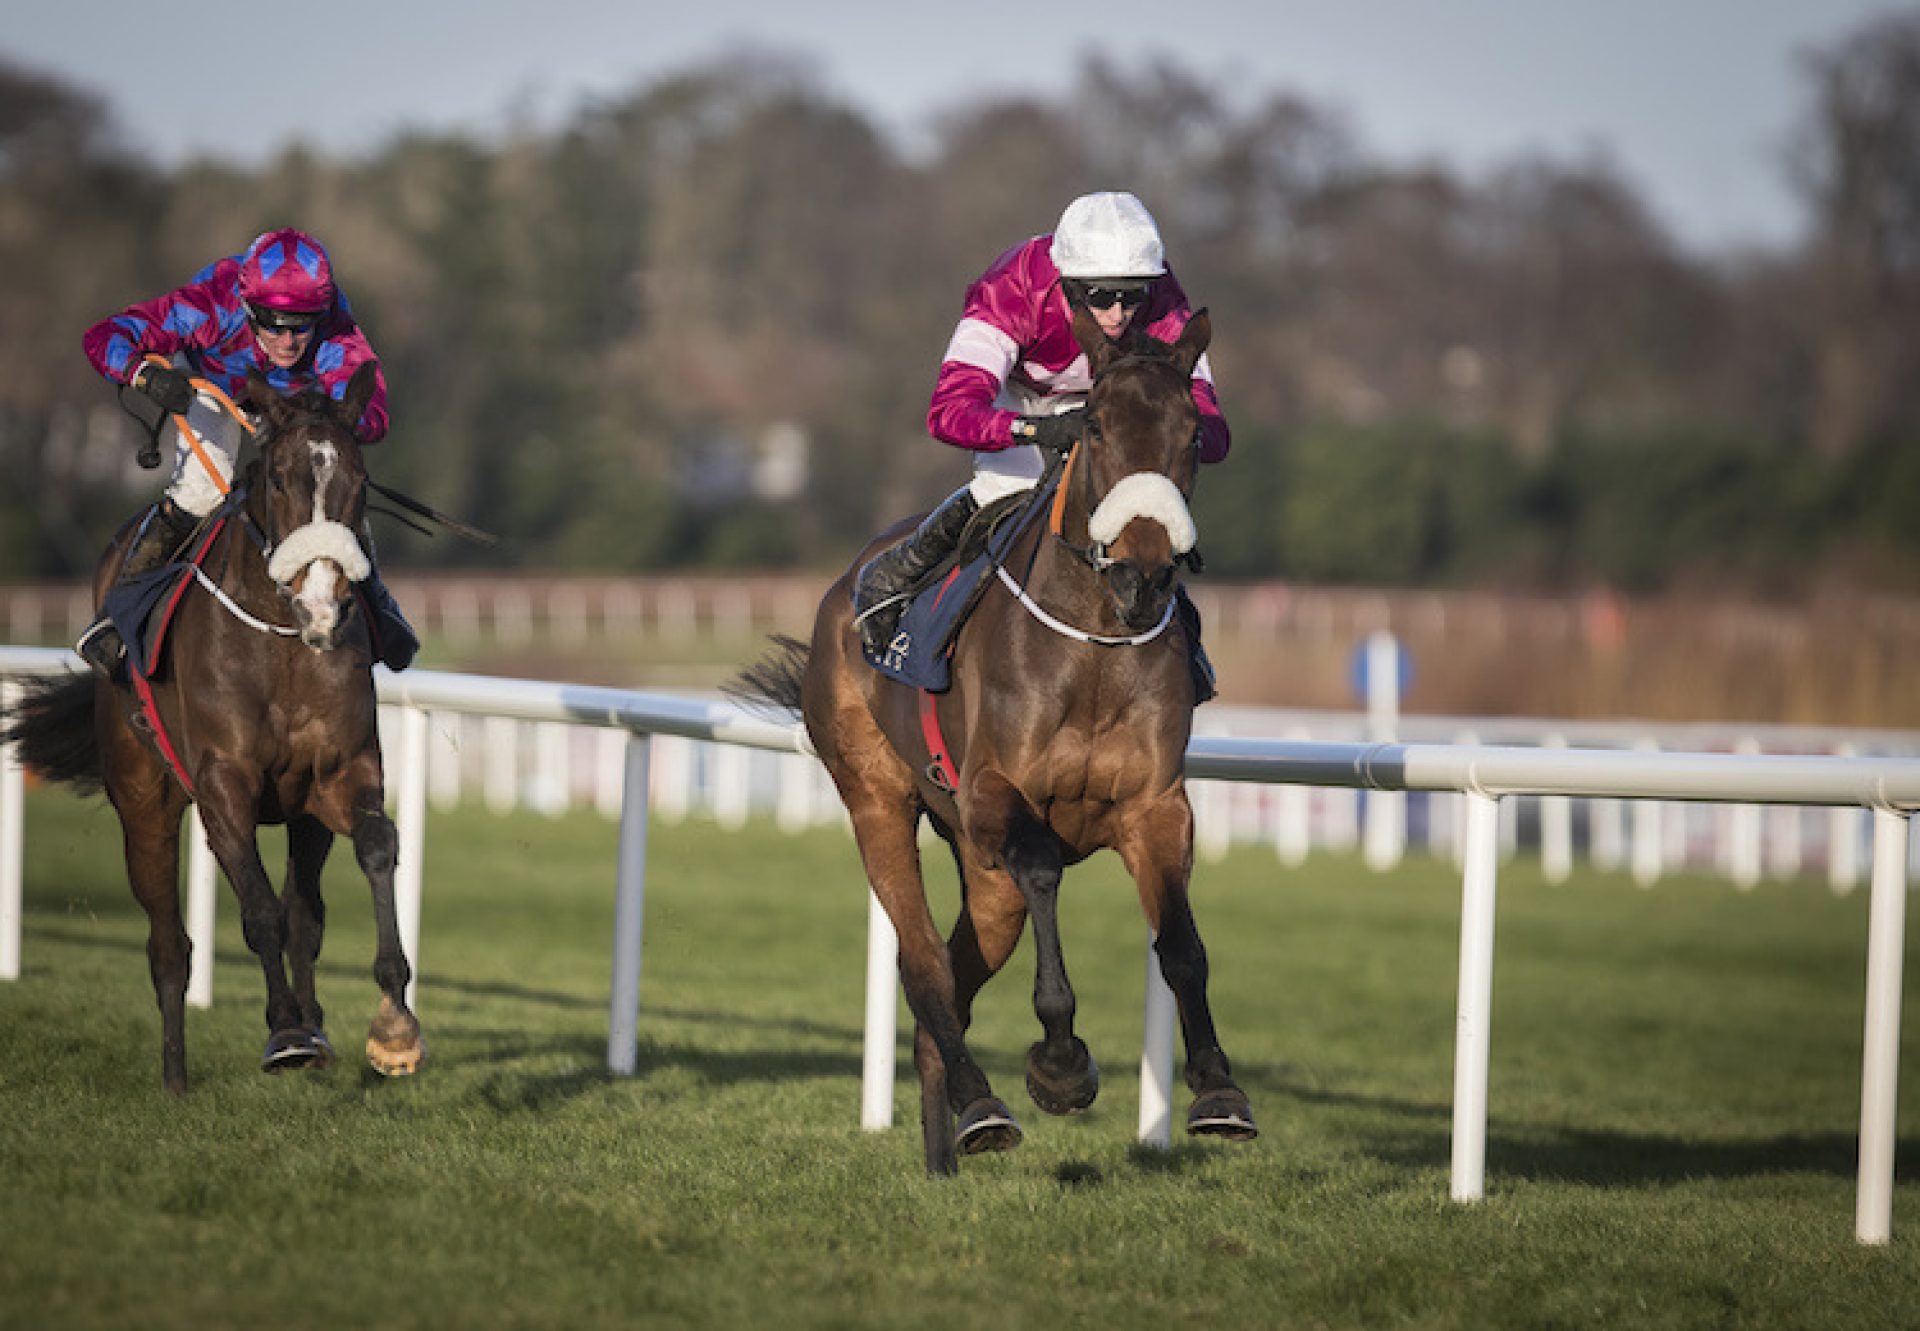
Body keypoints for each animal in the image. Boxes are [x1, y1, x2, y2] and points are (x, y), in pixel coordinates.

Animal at [3, 363, 424, 1090]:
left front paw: (393, 1023)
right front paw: (284, 1031)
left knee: (305, 912)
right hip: (143, 801)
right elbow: (258, 910)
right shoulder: (223, 787)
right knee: (168, 943)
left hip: (304, 818)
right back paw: (176, 1076)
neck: (282, 642)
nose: (322, 606)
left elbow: (374, 847)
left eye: (361, 482)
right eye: (279, 478)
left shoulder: (339, 775)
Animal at [737, 303, 1259, 1175]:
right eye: (1097, 425)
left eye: (1192, 432)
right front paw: (1060, 1062)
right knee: (922, 965)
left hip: (986, 885)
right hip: (877, 797)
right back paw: (982, 1104)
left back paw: (946, 1147)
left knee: (949, 987)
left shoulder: (1156, 806)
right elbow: (1043, 866)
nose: (1143, 572)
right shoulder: (993, 800)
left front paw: (1219, 1089)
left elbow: (1183, 943)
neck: (1092, 643)